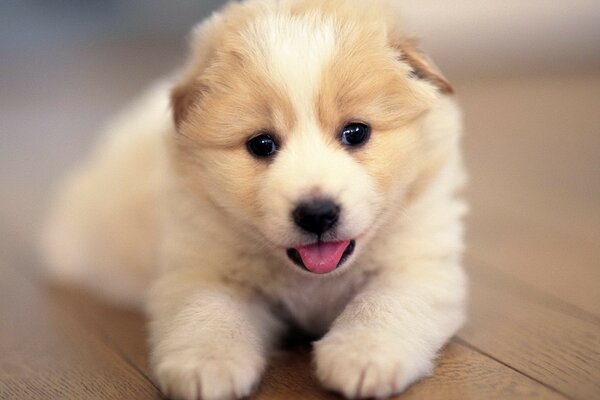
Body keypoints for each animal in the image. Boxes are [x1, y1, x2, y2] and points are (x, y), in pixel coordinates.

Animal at [42, 0, 468, 398]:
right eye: (262, 144)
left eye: (356, 132)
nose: (317, 214)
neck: (310, 280)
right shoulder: (203, 267)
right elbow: (208, 312)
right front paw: (206, 365)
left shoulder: (418, 263)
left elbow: (384, 304)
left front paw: (363, 355)